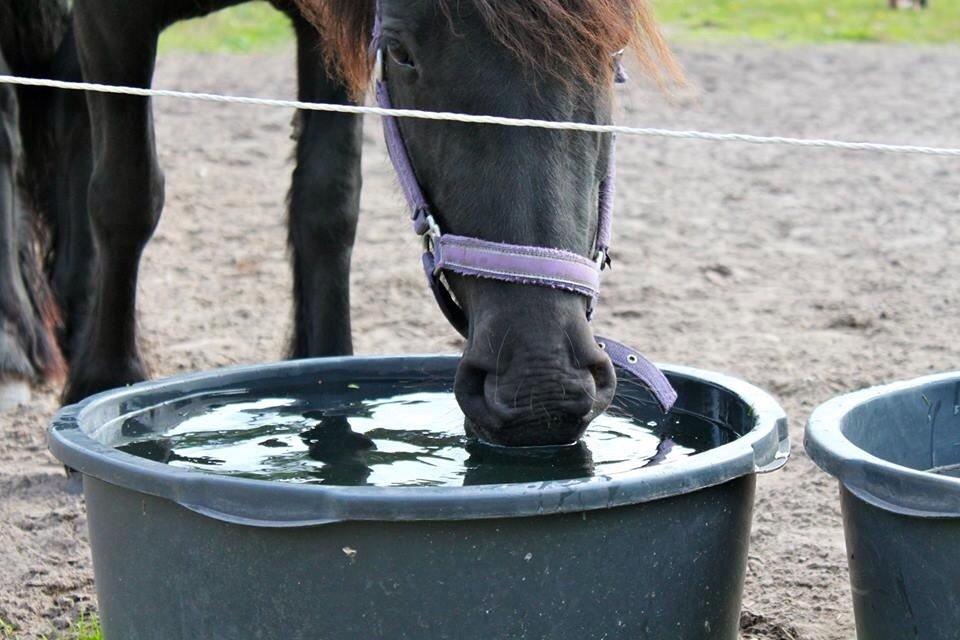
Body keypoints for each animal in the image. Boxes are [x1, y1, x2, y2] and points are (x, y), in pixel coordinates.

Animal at [8, 0, 678, 446]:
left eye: (612, 53)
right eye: (402, 54)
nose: (542, 384)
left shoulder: (324, 30)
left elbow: (328, 204)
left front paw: (325, 372)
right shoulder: (111, 21)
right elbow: (126, 195)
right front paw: (104, 381)